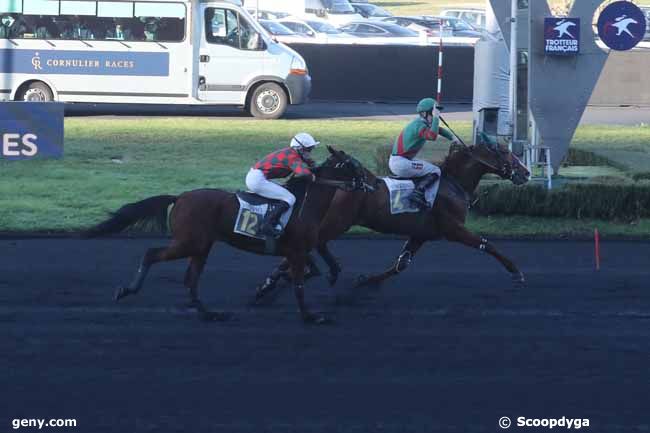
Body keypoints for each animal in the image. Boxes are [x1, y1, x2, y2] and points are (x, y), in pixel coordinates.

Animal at [83, 146, 372, 324]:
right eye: (354, 164)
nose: (372, 183)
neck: (305, 203)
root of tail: (180, 197)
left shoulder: (296, 250)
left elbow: (309, 272)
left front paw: (266, 290)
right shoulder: (297, 251)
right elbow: (300, 285)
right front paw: (311, 317)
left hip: (201, 246)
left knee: (191, 279)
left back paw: (210, 313)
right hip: (189, 242)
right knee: (152, 254)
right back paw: (127, 290)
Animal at [256, 142, 528, 296]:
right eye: (506, 152)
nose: (525, 172)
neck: (453, 184)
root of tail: (336, 181)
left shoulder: (421, 234)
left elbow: (401, 264)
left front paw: (367, 281)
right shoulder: (453, 229)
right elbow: (487, 244)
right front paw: (516, 272)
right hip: (339, 222)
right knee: (311, 242)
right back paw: (275, 280)